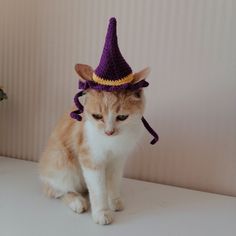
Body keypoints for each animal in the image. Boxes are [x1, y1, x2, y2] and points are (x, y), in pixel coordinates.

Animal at [38, 63, 149, 225]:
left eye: (122, 117)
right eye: (97, 116)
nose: (109, 132)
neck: (111, 142)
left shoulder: (118, 159)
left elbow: (114, 181)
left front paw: (114, 200)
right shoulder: (91, 159)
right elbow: (98, 189)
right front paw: (101, 212)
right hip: (60, 160)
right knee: (57, 190)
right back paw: (77, 201)